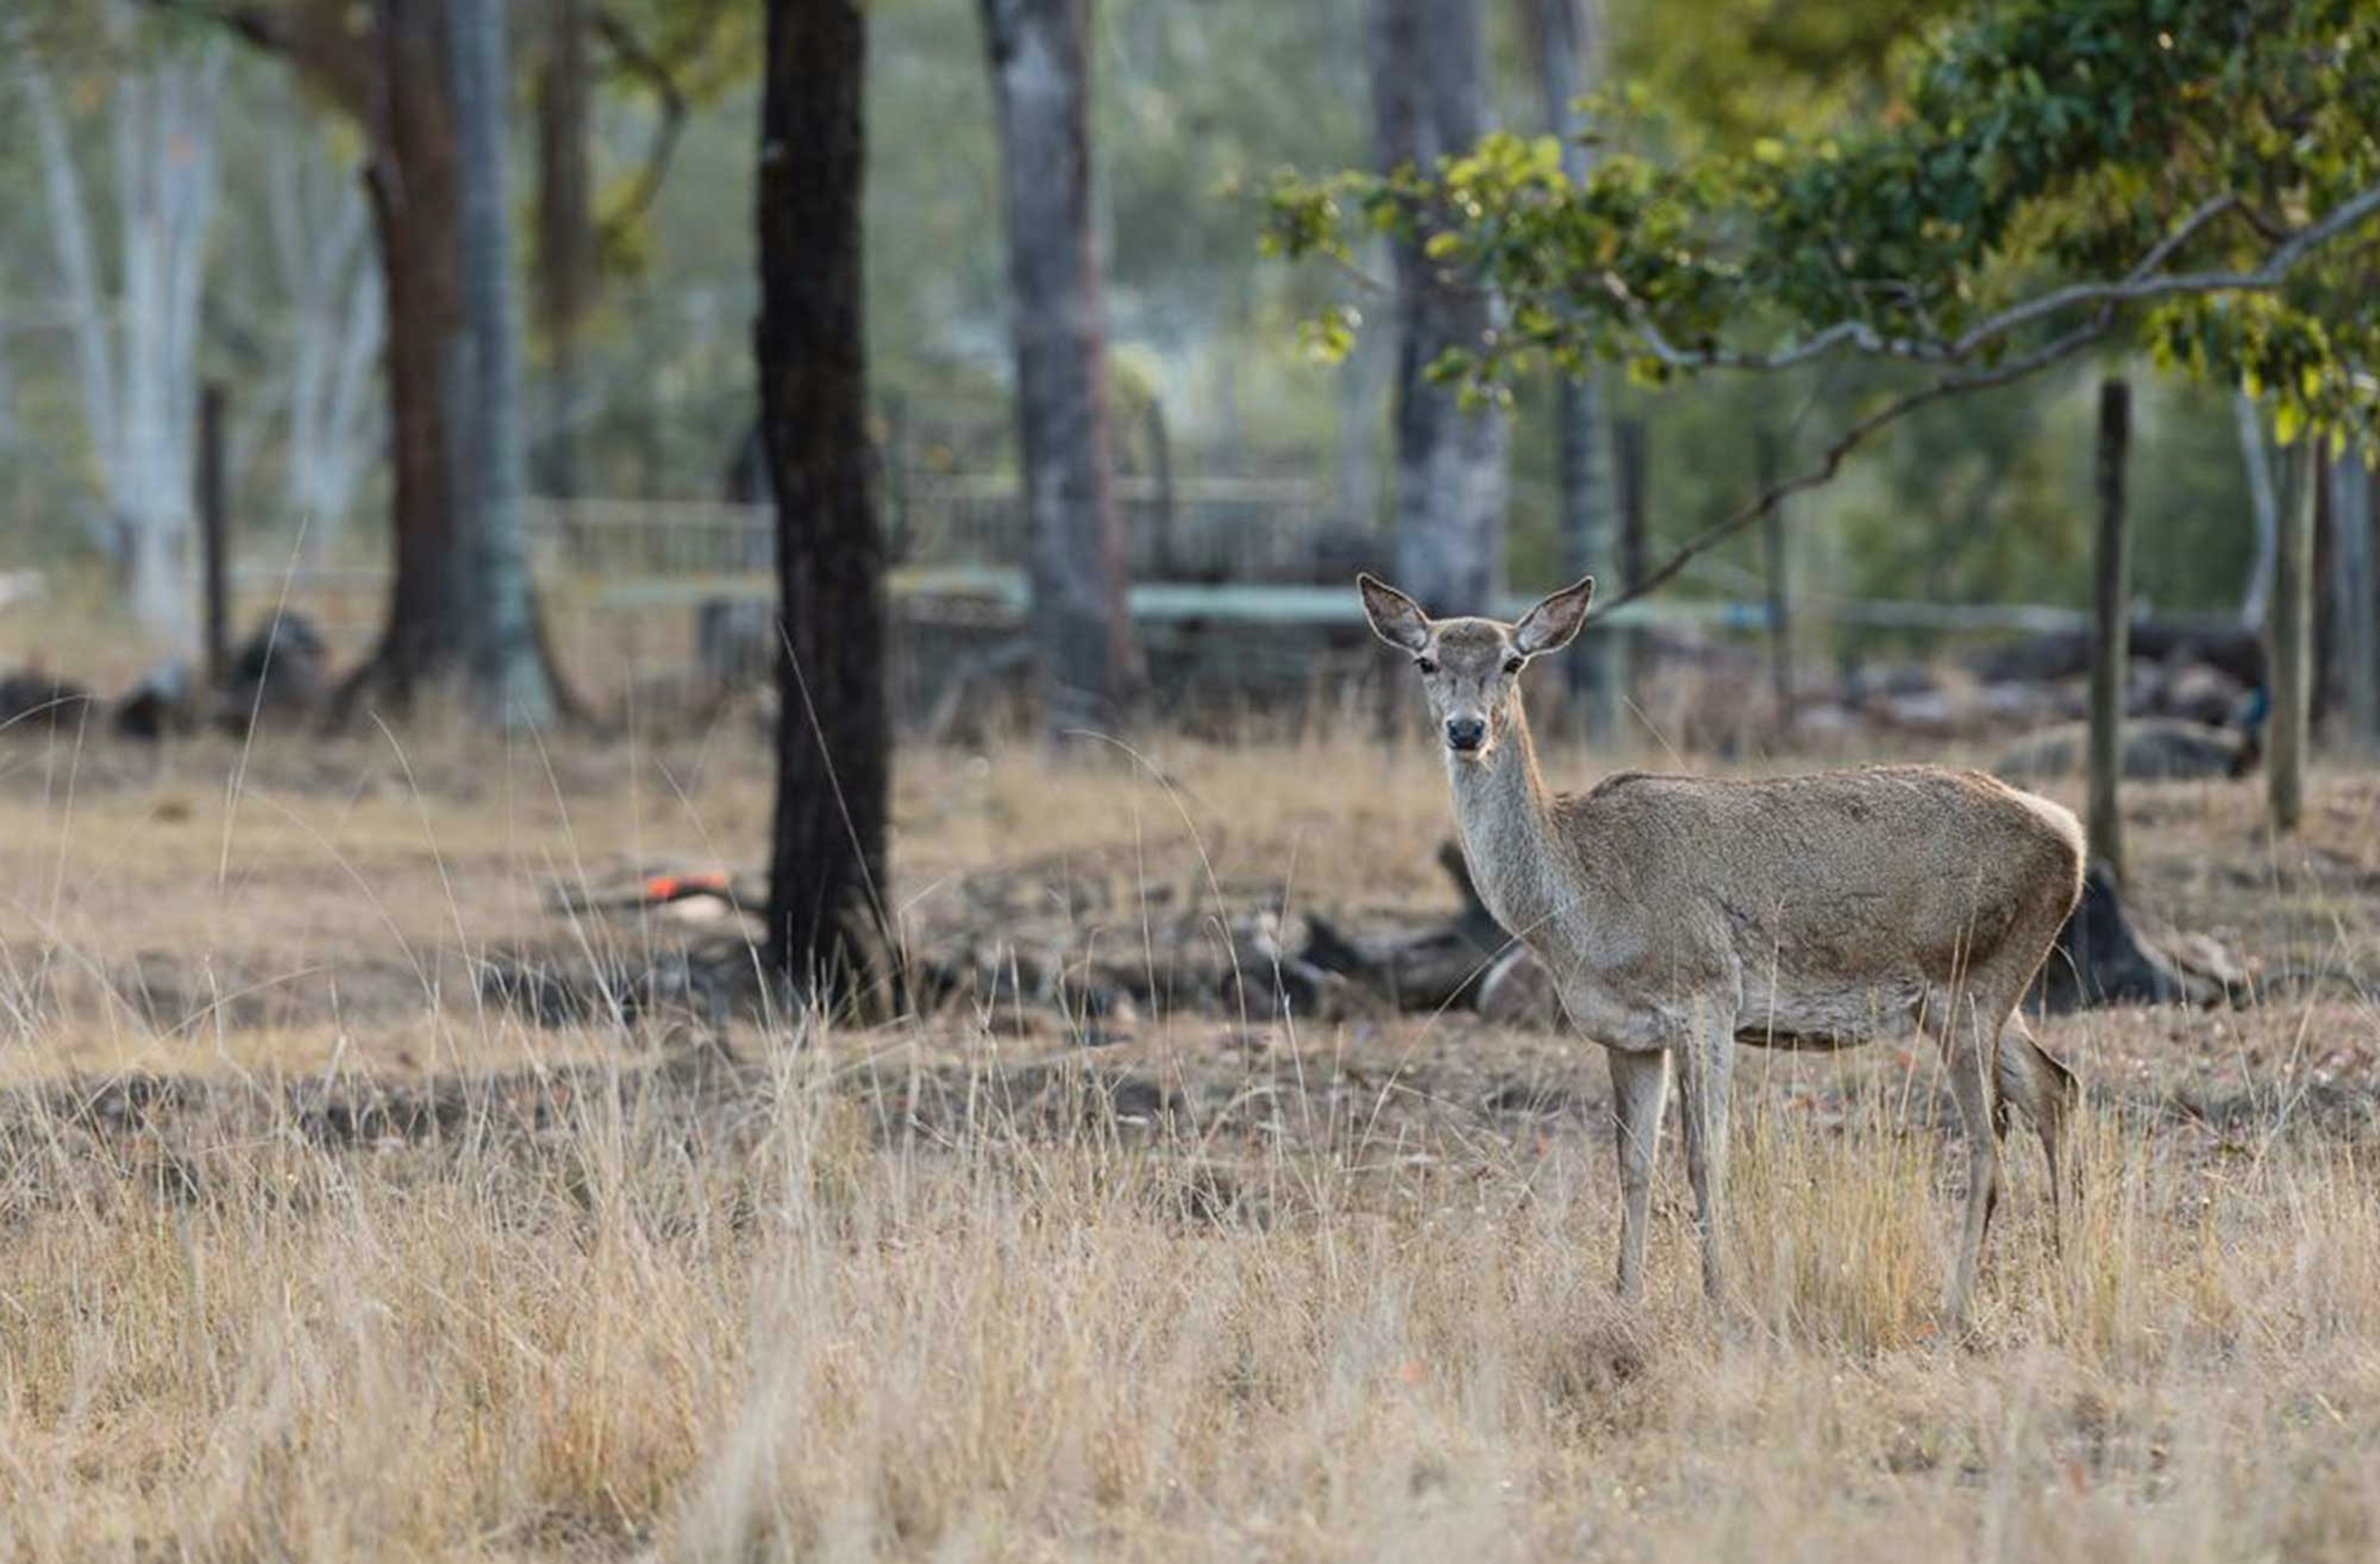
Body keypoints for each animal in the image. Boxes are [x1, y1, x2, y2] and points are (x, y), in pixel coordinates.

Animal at [1357, 571, 2085, 1330]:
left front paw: (1719, 1295)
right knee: (2056, 1086)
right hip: (1984, 992)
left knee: (1988, 1139)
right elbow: (1632, 1164)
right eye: (1426, 661)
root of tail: (2071, 834)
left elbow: (1706, 1158)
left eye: (1513, 662)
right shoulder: (1626, 1033)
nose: (1466, 730)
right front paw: (1625, 1294)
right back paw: (2064, 1266)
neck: (1580, 904)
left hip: (1971, 980)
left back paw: (1958, 1304)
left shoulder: (1707, 993)